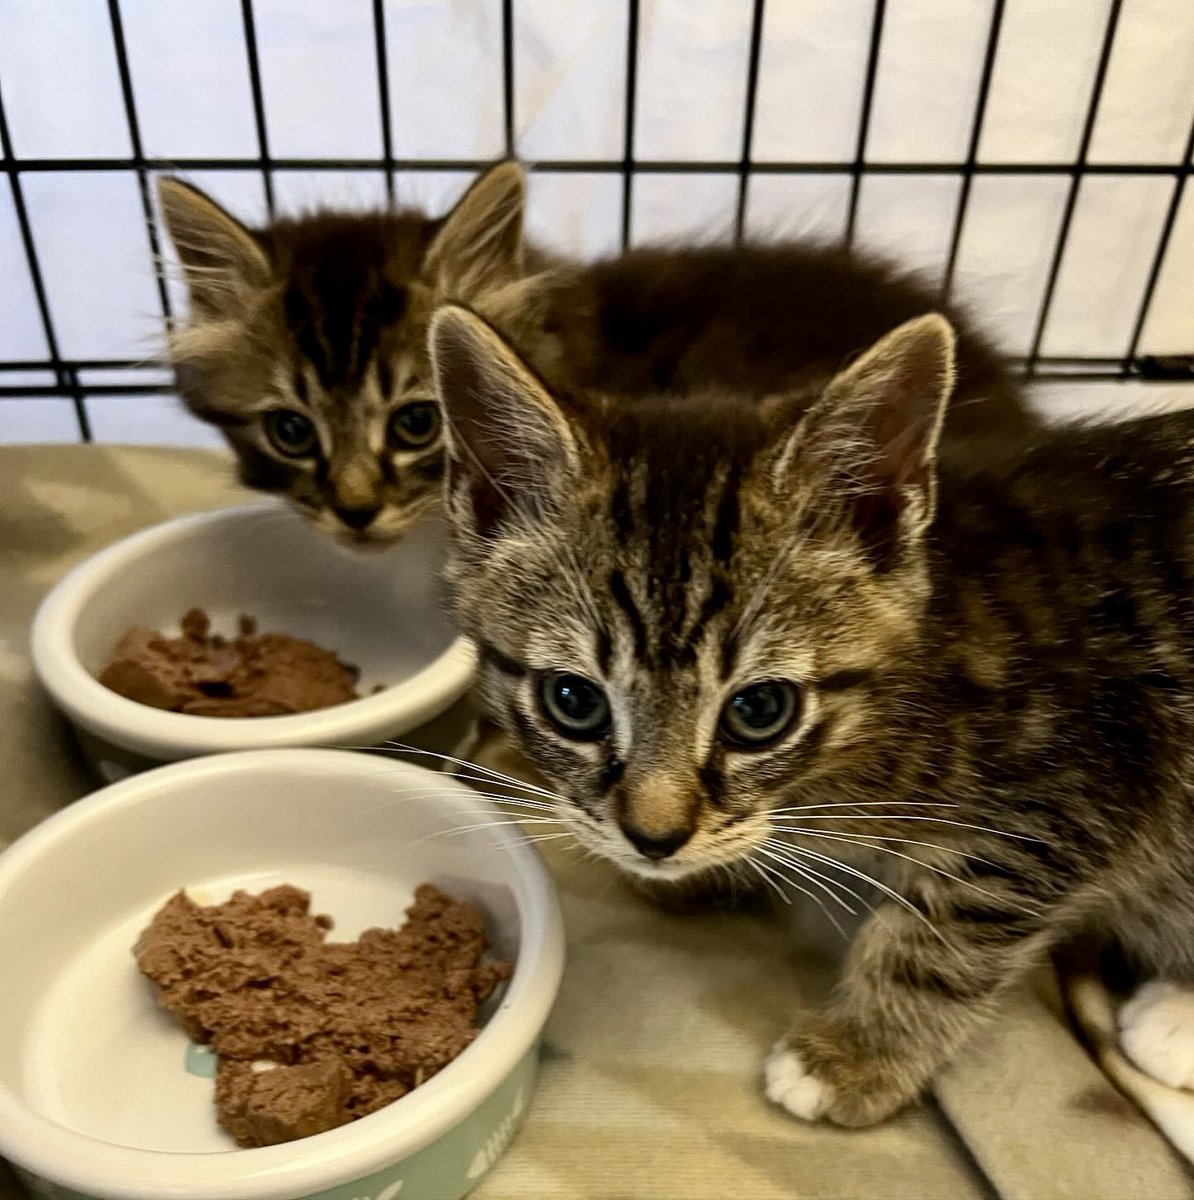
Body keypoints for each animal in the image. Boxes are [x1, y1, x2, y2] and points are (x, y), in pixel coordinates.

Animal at [432, 300, 1194, 1123]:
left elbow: (943, 937)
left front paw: (853, 1055)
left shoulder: (1070, 789)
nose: (654, 839)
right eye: (573, 701)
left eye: (760, 709)